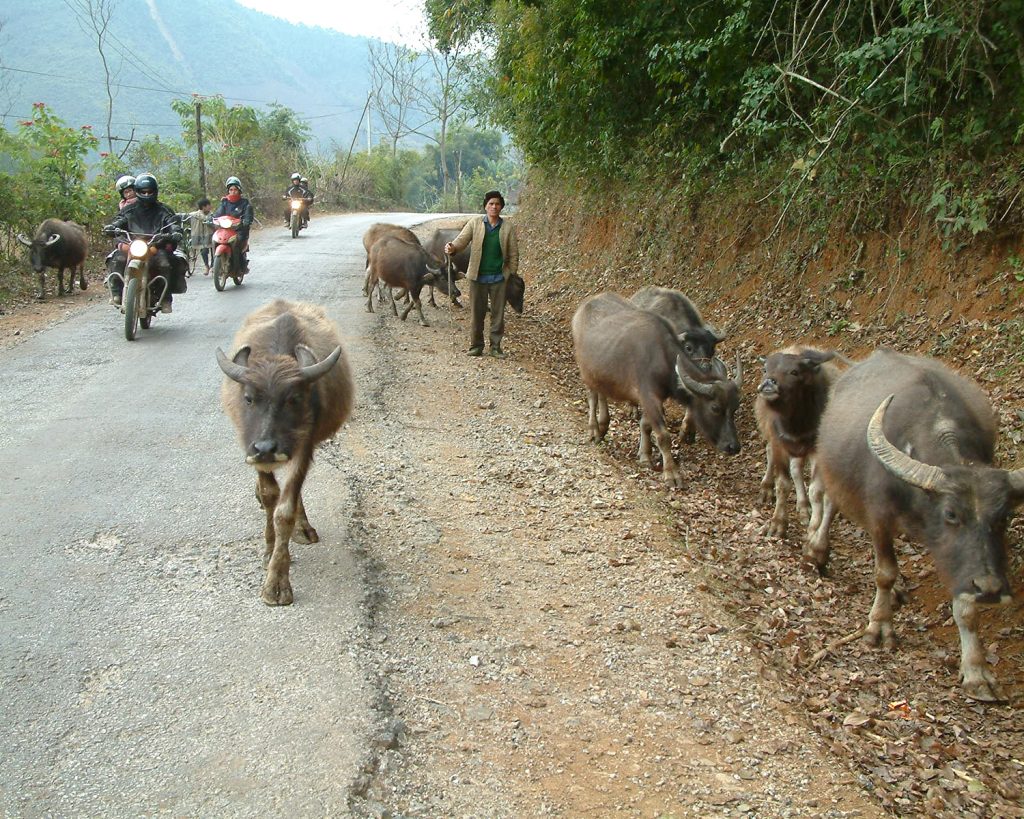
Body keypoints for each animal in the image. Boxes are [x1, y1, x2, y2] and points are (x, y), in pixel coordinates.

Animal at [217, 300, 356, 606]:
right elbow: (271, 495)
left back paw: (303, 528)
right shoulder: (252, 448)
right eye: (248, 398)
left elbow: (284, 511)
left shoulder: (303, 447)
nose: (267, 448)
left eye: (293, 399)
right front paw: (269, 550)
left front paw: (277, 581)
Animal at [569, 292, 745, 489]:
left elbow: (646, 424)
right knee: (592, 396)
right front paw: (671, 473)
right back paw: (594, 431)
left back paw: (603, 425)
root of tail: (585, 306)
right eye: (715, 408)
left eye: (735, 407)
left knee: (602, 393)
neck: (662, 358)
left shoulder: (656, 398)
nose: (733, 446)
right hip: (586, 370)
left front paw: (645, 455)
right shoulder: (648, 396)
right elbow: (663, 435)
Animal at [757, 343, 843, 536]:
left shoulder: (817, 451)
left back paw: (804, 507)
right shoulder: (779, 443)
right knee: (771, 454)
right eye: (765, 369)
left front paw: (814, 528)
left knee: (796, 470)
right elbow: (782, 484)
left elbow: (816, 491)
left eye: (794, 372)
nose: (768, 383)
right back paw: (766, 488)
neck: (796, 423)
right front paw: (778, 523)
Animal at [806, 348, 1024, 700]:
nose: (991, 590)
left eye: (1003, 516)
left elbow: (965, 607)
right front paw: (879, 626)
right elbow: (885, 572)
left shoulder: (964, 563)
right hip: (832, 468)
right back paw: (817, 550)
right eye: (951, 514)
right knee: (828, 500)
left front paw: (976, 670)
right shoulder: (879, 518)